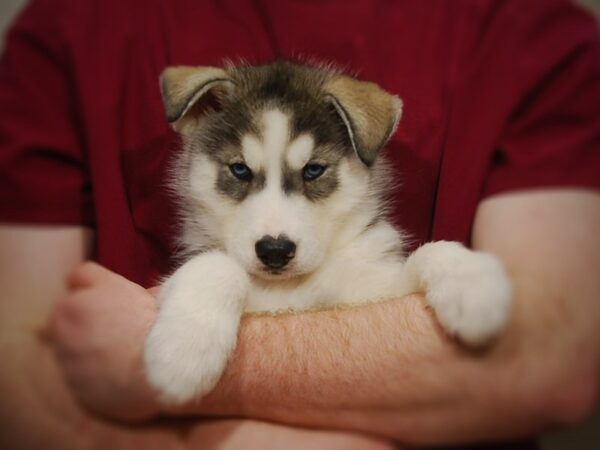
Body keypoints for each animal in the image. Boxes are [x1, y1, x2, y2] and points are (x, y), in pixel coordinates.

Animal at [144, 61, 510, 402]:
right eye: (239, 169)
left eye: (314, 170)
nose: (275, 251)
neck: (290, 287)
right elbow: (214, 265)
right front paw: (184, 350)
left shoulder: (376, 288)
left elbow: (429, 250)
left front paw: (473, 283)